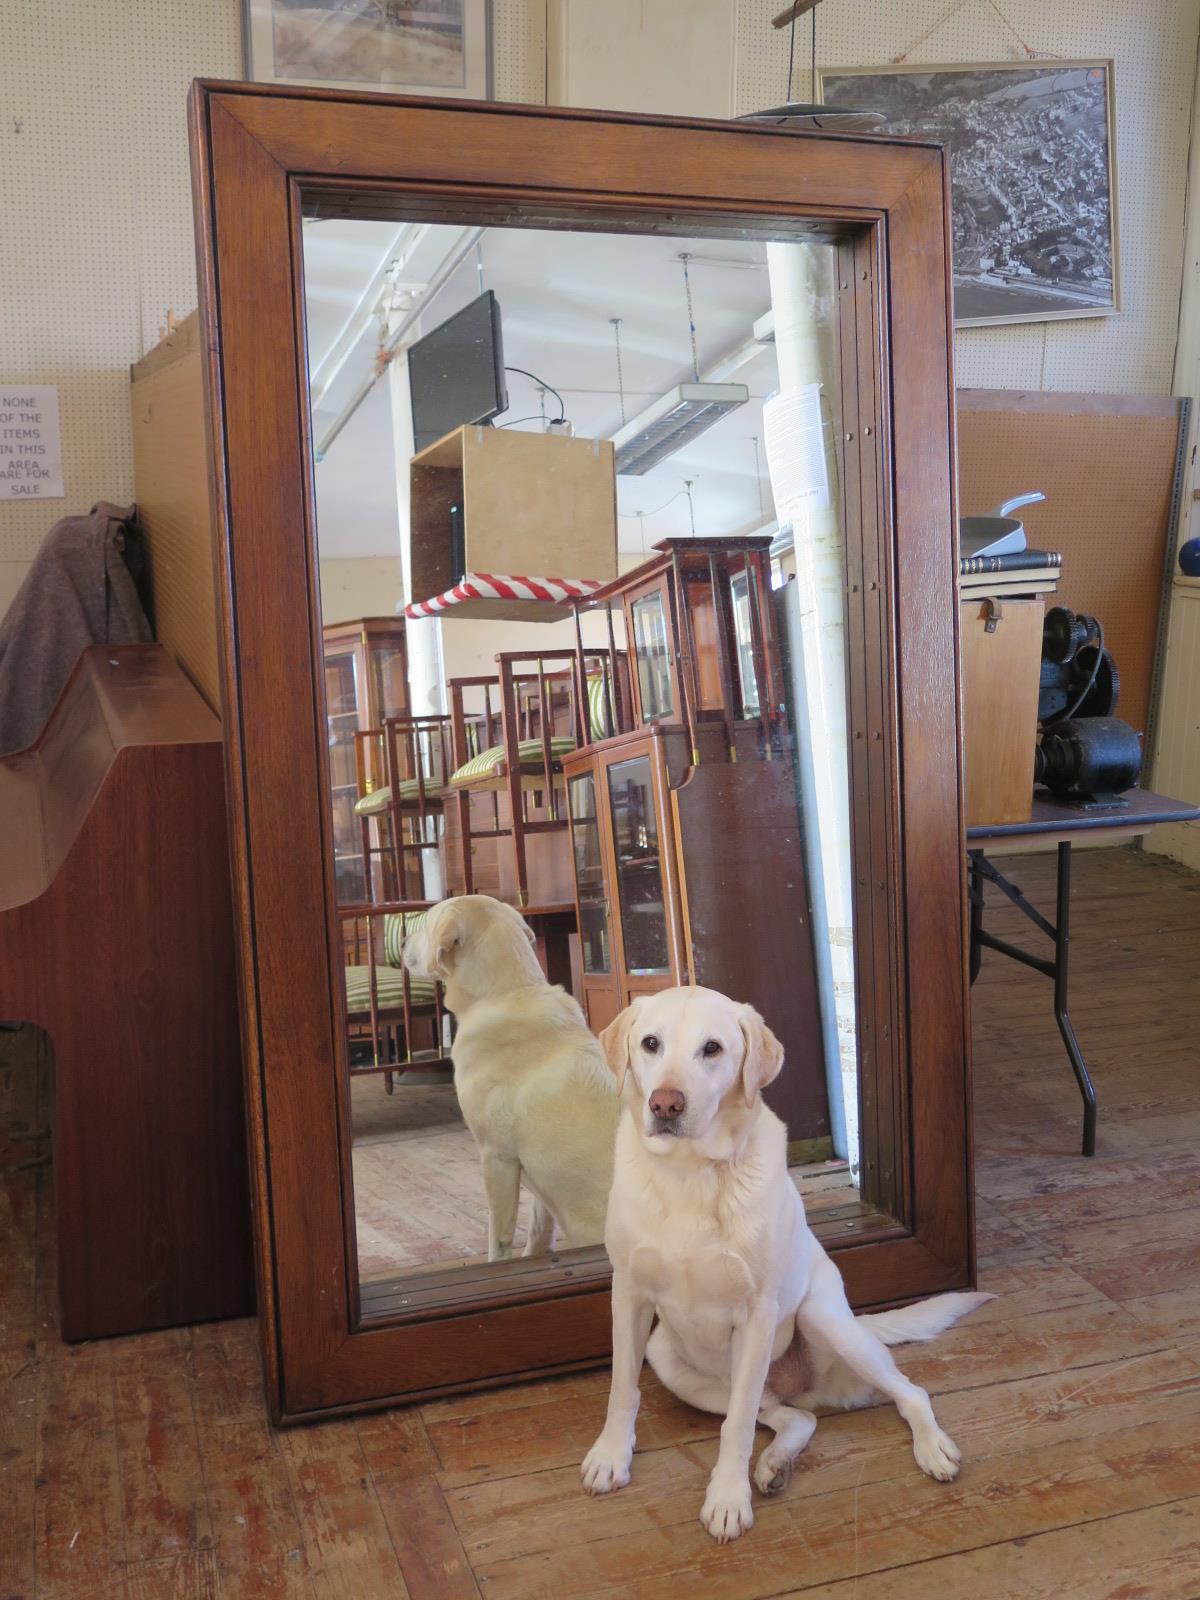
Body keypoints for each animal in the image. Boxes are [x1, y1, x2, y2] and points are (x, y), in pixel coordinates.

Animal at [404, 902, 620, 1260]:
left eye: (427, 921)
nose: (403, 938)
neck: (508, 992)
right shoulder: (540, 1184)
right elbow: (539, 1232)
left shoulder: (497, 1158)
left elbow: (499, 1240)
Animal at [585, 979, 998, 1542]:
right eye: (650, 1044)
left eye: (711, 1049)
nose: (665, 1103)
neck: (690, 1174)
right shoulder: (628, 1292)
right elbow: (621, 1388)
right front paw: (611, 1456)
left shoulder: (757, 1313)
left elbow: (736, 1426)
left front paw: (727, 1498)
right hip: (671, 1361)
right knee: (797, 1419)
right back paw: (775, 1464)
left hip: (824, 1320)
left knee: (910, 1392)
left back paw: (931, 1448)